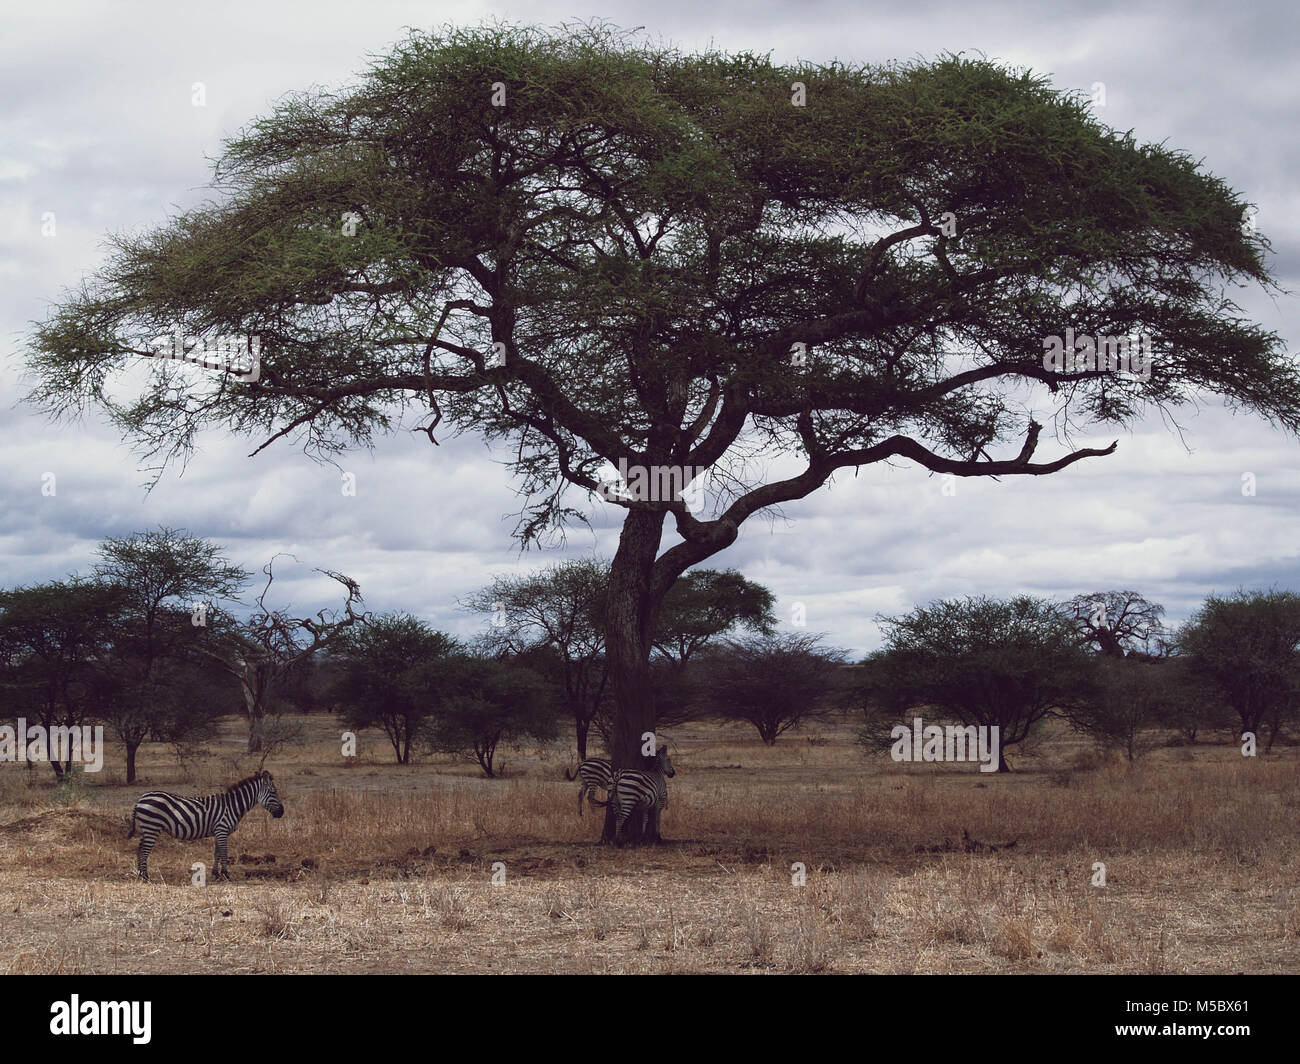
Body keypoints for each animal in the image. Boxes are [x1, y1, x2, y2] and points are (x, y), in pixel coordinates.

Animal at [126, 764, 284, 884]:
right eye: (273, 792)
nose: (281, 813)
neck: (232, 806)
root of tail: (141, 799)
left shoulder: (219, 831)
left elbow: (217, 853)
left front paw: (216, 874)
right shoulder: (222, 829)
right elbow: (224, 853)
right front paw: (226, 875)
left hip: (147, 828)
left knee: (139, 849)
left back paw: (140, 875)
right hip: (152, 827)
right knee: (144, 850)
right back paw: (146, 877)